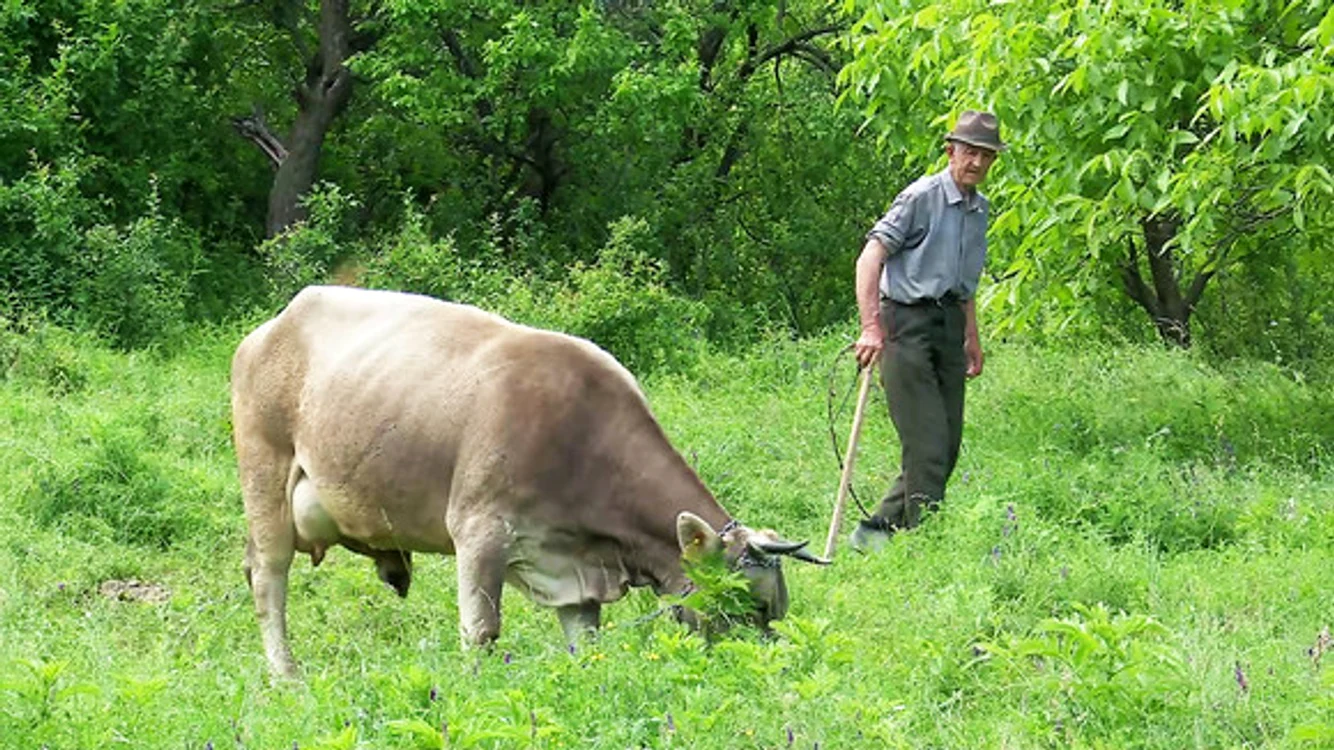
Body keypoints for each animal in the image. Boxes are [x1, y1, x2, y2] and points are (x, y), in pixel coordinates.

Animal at [231, 286, 826, 677]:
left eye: (775, 611)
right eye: (752, 606)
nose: (762, 670)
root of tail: (273, 324)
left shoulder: (576, 570)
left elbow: (587, 643)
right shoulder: (480, 531)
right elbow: (481, 633)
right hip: (265, 476)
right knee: (268, 578)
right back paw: (285, 674)